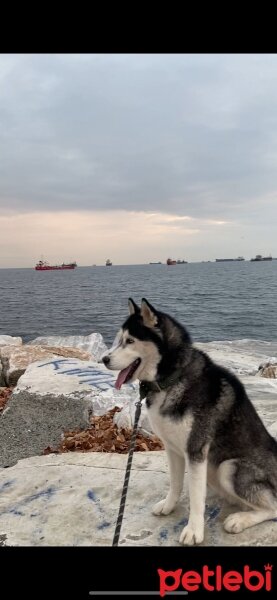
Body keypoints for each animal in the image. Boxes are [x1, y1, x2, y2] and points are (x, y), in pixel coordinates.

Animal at [102, 298, 276, 544]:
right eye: (119, 339)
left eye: (130, 341)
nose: (104, 359)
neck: (172, 379)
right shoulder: (172, 448)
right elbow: (176, 483)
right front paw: (169, 506)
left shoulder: (195, 450)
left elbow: (195, 497)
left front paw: (194, 530)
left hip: (228, 467)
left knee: (273, 507)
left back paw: (239, 520)